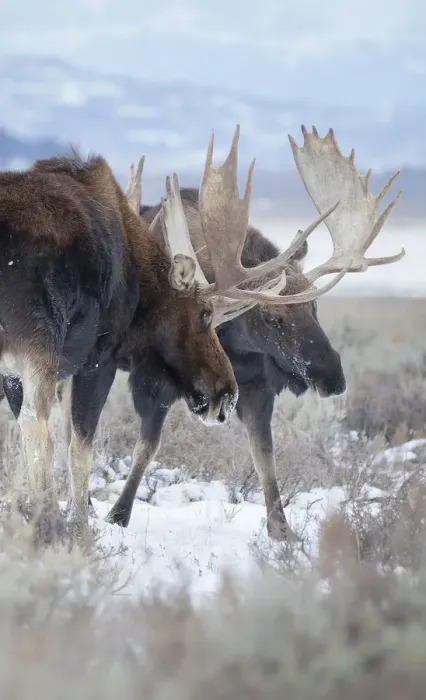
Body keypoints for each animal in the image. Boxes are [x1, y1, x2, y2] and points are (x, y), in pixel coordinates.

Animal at [0, 125, 404, 542]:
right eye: (271, 318)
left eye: (315, 307)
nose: (332, 376)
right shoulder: (108, 361)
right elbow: (95, 443)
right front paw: (93, 519)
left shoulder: (252, 382)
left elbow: (261, 451)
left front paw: (282, 529)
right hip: (41, 342)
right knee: (38, 421)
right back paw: (53, 520)